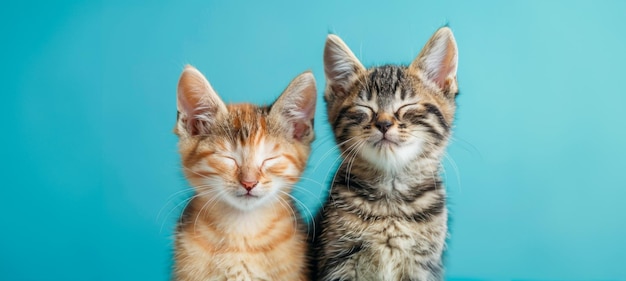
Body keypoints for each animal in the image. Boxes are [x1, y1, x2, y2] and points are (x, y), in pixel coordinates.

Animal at [314, 26, 456, 280]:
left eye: (407, 106)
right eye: (365, 108)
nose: (383, 124)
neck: (391, 202)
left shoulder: (423, 265)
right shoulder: (338, 261)